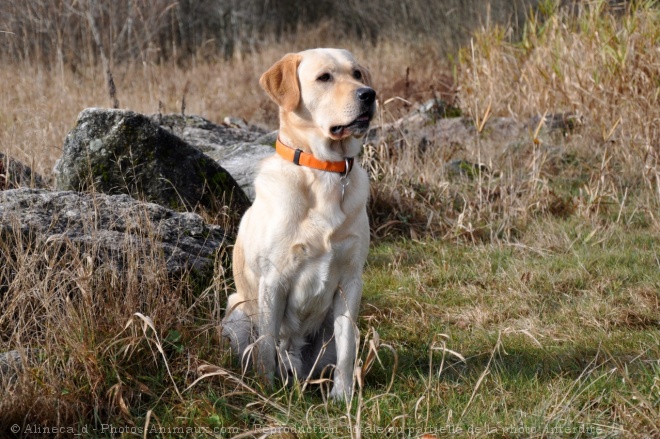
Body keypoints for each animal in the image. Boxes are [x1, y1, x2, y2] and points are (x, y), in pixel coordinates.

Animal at [223, 49, 374, 402]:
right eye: (324, 77)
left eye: (357, 74)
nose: (369, 95)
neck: (324, 172)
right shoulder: (273, 280)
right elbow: (266, 345)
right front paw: (268, 391)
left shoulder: (351, 280)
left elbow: (347, 347)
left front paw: (343, 396)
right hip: (237, 312)